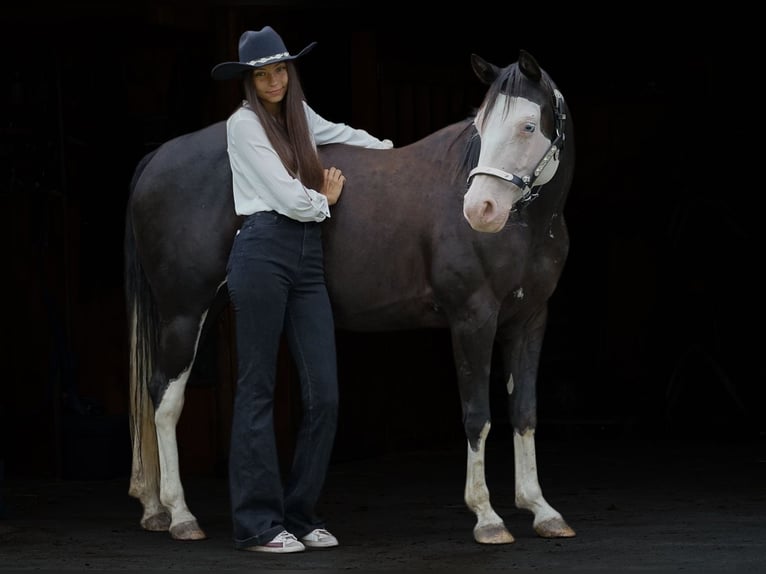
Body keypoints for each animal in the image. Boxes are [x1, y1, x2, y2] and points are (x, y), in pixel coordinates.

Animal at [124, 48, 575, 545]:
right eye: (480, 126)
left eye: (528, 126)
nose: (480, 210)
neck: (527, 226)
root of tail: (158, 156)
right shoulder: (472, 318)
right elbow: (478, 415)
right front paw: (488, 517)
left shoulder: (529, 321)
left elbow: (525, 412)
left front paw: (541, 509)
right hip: (185, 313)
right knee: (165, 399)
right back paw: (180, 514)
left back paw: (154, 509)